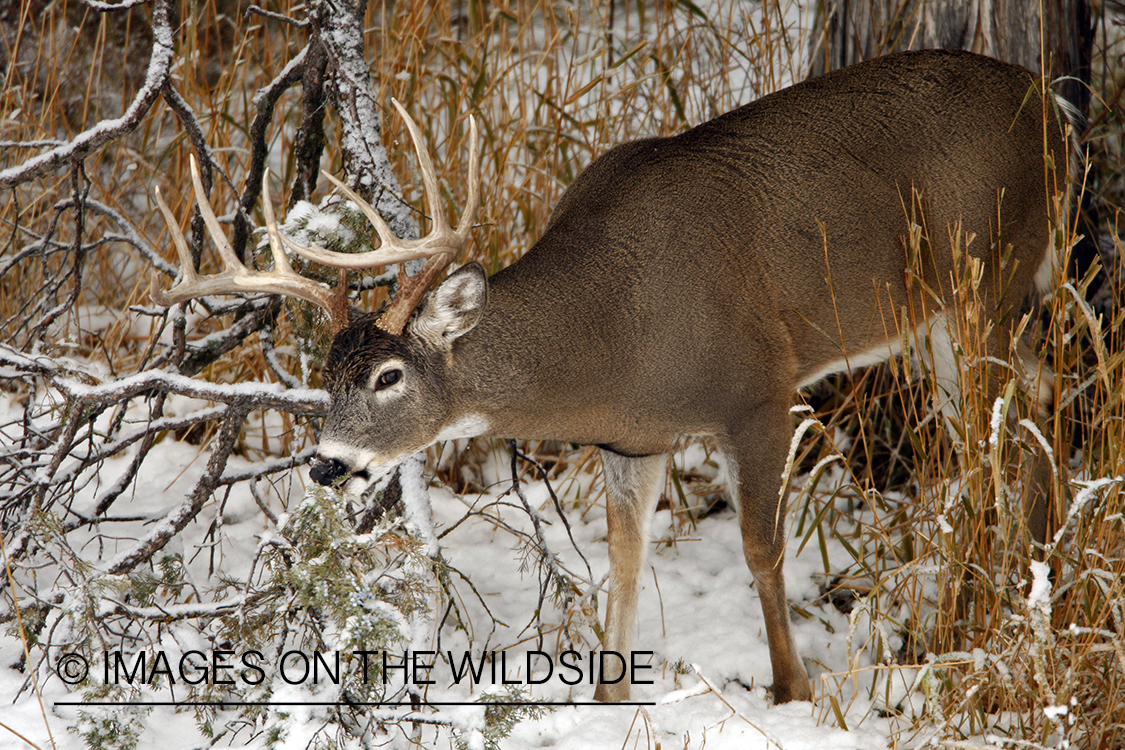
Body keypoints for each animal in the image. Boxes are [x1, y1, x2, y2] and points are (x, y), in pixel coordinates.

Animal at [154, 51, 1066, 706]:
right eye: (326, 376)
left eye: (386, 375)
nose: (327, 463)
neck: (616, 330)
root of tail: (1048, 102)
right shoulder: (631, 440)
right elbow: (622, 565)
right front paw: (609, 696)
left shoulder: (758, 389)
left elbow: (761, 547)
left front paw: (791, 689)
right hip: (950, 315)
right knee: (1030, 401)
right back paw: (1030, 562)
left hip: (988, 274)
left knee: (1004, 422)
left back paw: (981, 600)